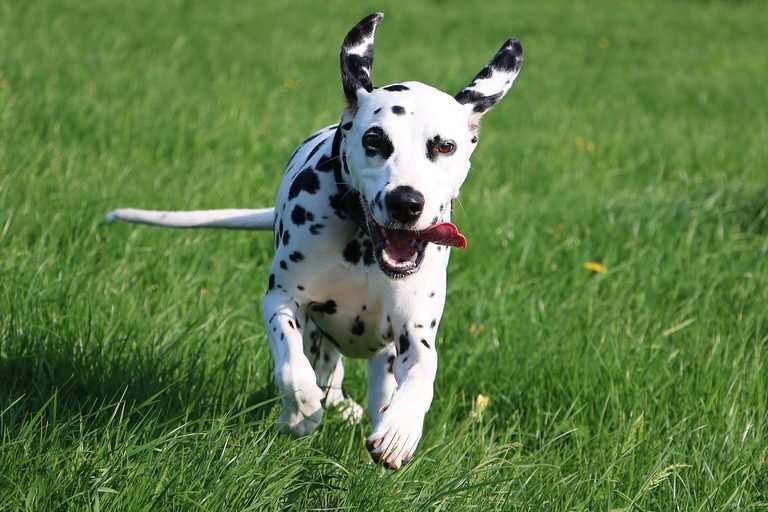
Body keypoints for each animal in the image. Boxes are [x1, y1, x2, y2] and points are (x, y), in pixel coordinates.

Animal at [106, 12, 520, 468]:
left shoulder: (414, 329)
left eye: (445, 146)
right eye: (374, 140)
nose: (406, 202)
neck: (362, 246)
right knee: (324, 371)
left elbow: (424, 369)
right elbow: (292, 366)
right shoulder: (283, 300)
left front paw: (401, 429)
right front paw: (300, 413)